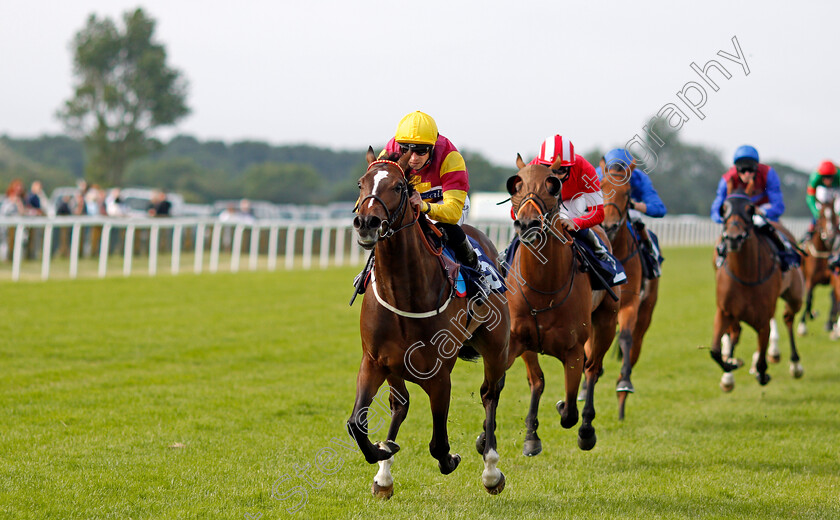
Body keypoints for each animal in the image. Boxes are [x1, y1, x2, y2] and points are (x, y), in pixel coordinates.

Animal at [350, 148, 508, 498]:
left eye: (398, 187)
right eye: (361, 183)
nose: (366, 222)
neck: (403, 292)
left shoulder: (439, 376)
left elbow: (438, 445)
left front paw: (453, 458)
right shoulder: (373, 361)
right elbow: (357, 423)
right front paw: (381, 451)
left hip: (495, 347)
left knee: (490, 394)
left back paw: (490, 466)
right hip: (395, 369)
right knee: (400, 404)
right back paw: (384, 474)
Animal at [502, 153, 620, 456]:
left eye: (552, 185)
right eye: (516, 185)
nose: (527, 224)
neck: (543, 287)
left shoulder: (574, 350)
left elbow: (569, 412)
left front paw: (566, 410)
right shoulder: (520, 341)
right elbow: (536, 381)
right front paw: (530, 435)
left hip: (607, 321)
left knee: (593, 370)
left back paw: (587, 429)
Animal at [708, 192, 808, 390]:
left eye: (750, 210)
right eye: (723, 209)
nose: (733, 238)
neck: (746, 275)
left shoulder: (763, 319)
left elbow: (762, 359)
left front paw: (761, 371)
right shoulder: (724, 311)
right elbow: (715, 351)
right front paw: (730, 367)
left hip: (795, 297)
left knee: (788, 318)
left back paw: (795, 364)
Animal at [796, 197, 836, 336]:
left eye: (834, 215)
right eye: (822, 215)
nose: (830, 237)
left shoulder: (833, 279)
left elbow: (833, 299)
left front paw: (832, 326)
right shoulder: (810, 280)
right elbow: (808, 300)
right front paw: (803, 325)